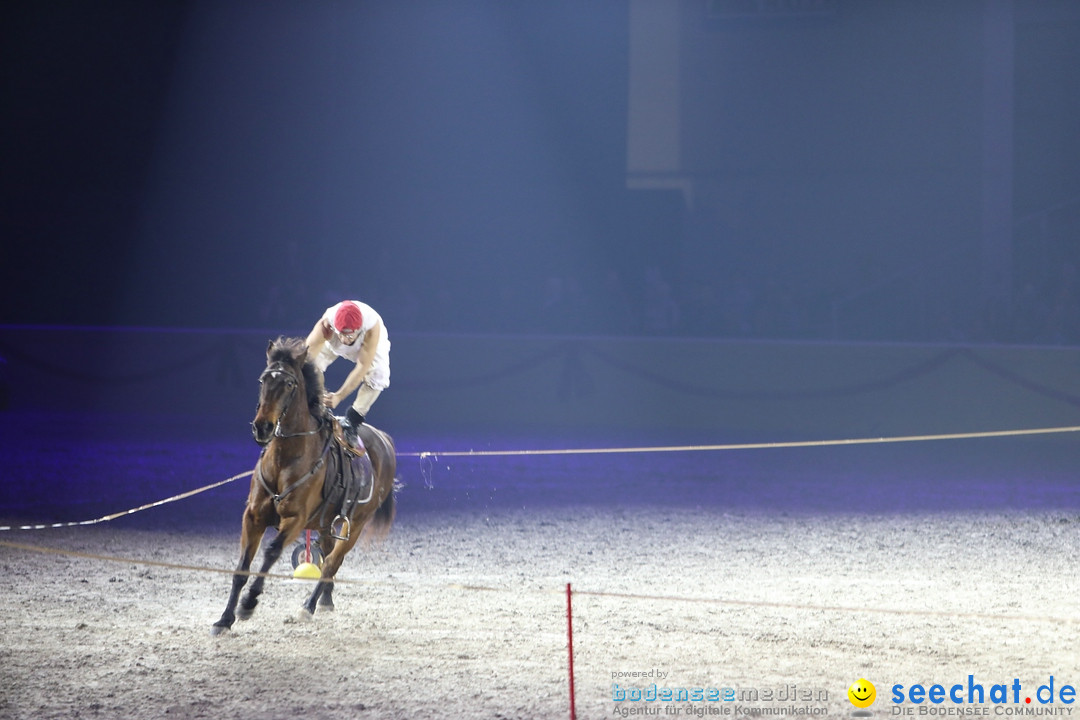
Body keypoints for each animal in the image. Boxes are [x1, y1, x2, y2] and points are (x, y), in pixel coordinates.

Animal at [210, 338, 397, 634]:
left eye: (289, 384)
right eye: (263, 379)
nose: (262, 427)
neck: (285, 459)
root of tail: (383, 439)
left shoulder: (295, 519)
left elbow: (271, 552)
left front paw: (249, 603)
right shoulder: (252, 517)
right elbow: (241, 567)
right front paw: (225, 619)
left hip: (355, 525)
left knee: (332, 562)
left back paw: (308, 607)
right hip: (325, 524)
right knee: (328, 556)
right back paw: (325, 600)